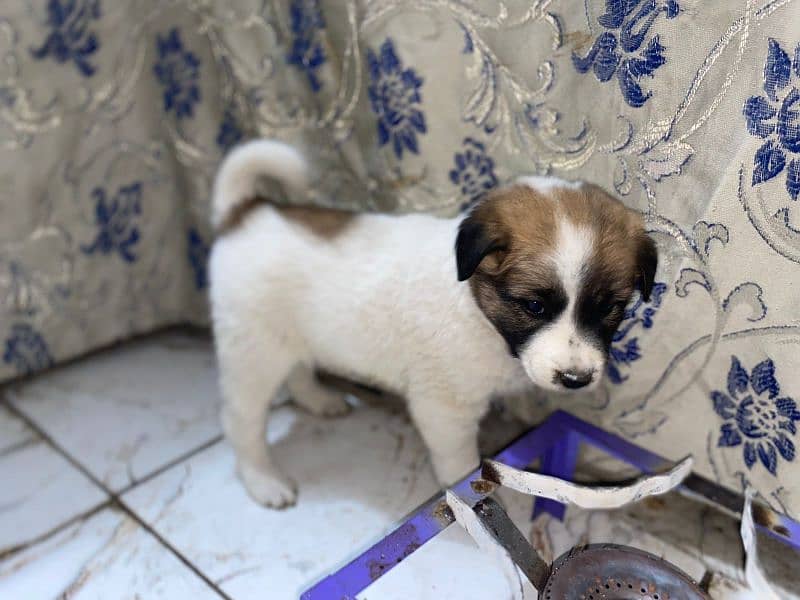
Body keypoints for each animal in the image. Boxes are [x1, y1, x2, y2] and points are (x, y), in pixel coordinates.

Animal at [211, 139, 656, 506]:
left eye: (610, 308)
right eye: (534, 306)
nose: (576, 380)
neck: (476, 308)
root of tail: (247, 211)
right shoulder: (444, 408)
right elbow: (460, 464)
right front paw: (471, 496)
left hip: (290, 339)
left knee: (298, 371)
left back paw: (318, 400)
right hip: (253, 354)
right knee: (240, 421)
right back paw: (264, 481)